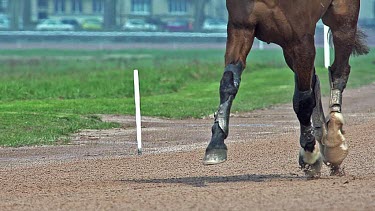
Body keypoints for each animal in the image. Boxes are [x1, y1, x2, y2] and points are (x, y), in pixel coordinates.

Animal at [204, 0, 368, 176]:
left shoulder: (301, 39)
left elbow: (303, 100)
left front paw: (310, 154)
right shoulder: (241, 26)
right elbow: (228, 81)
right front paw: (216, 143)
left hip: (343, 19)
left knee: (339, 70)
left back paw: (333, 141)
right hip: (287, 46)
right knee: (313, 80)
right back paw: (321, 133)